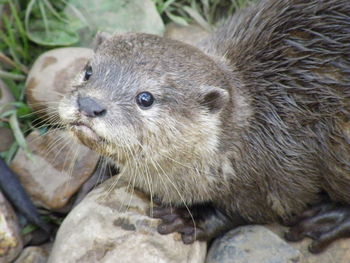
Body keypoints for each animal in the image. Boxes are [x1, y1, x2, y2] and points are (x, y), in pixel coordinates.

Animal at [58, 0, 350, 256]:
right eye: (88, 71)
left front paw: (189, 219)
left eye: (145, 98)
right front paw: (90, 183)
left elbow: (252, 211)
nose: (90, 104)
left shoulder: (278, 177)